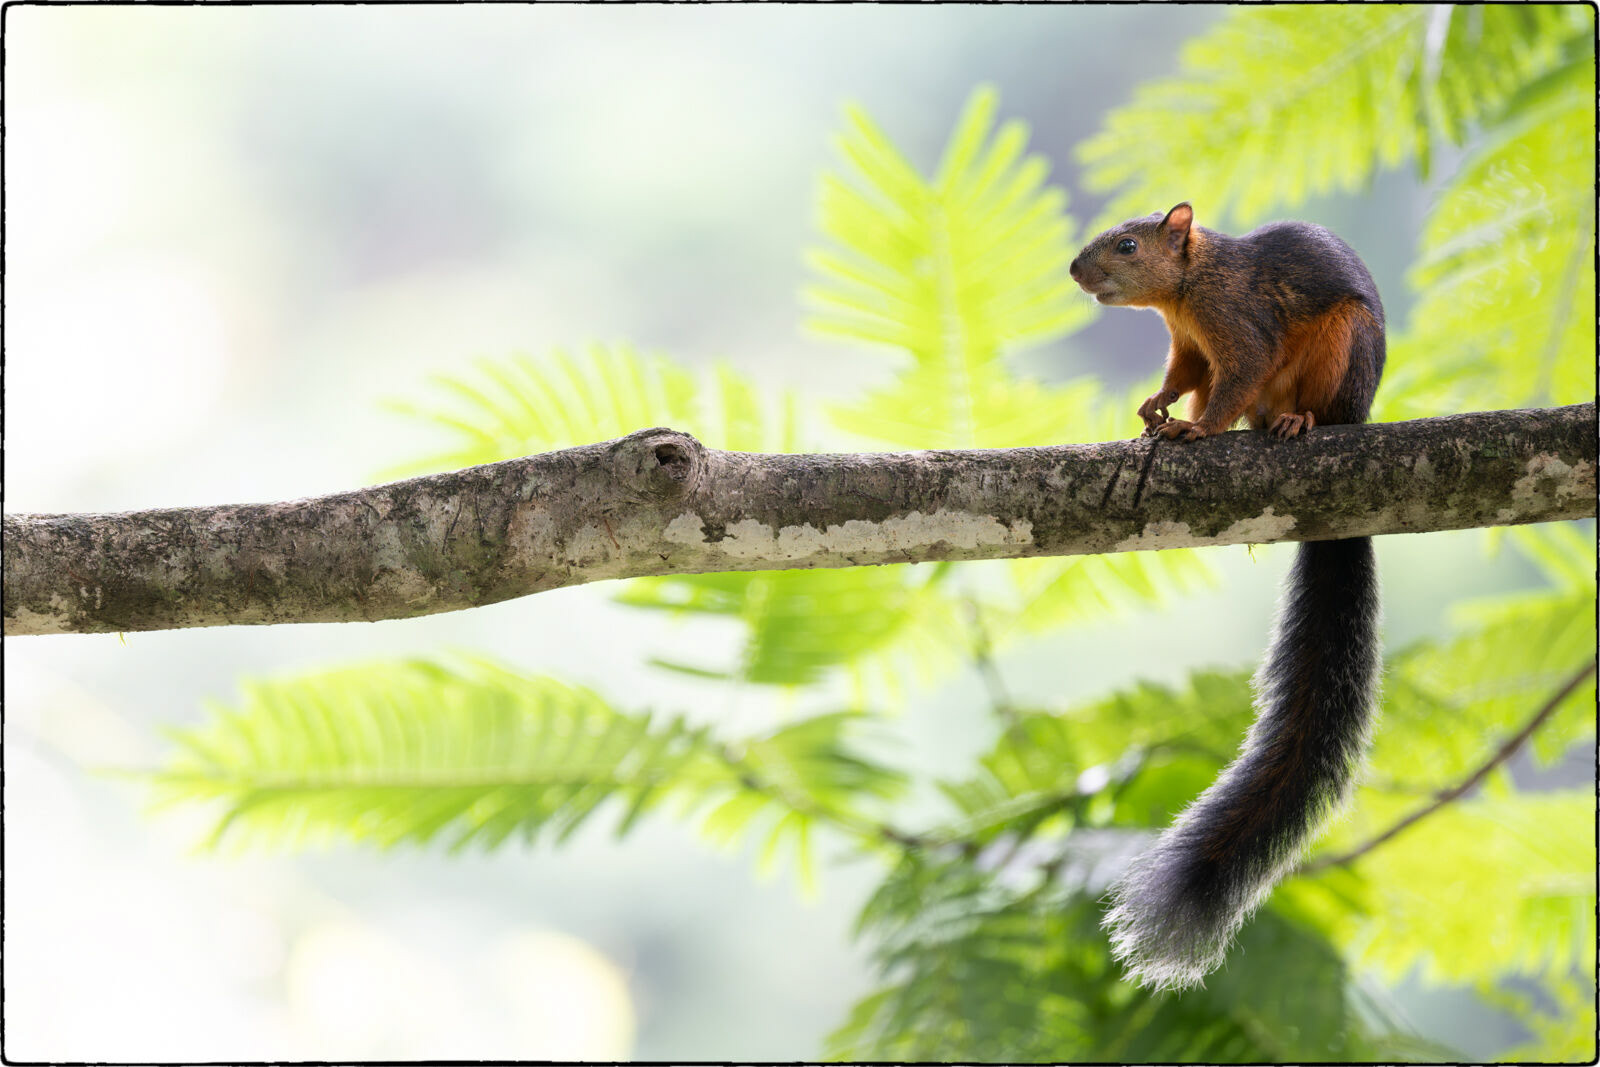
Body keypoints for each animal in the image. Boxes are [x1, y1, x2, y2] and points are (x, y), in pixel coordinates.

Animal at [1069, 202, 1385, 991]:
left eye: (1128, 244)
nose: (1076, 271)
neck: (1186, 290)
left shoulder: (1239, 325)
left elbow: (1233, 378)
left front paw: (1194, 427)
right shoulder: (1189, 344)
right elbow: (1186, 374)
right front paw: (1156, 405)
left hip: (1341, 349)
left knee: (1299, 405)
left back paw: (1300, 422)